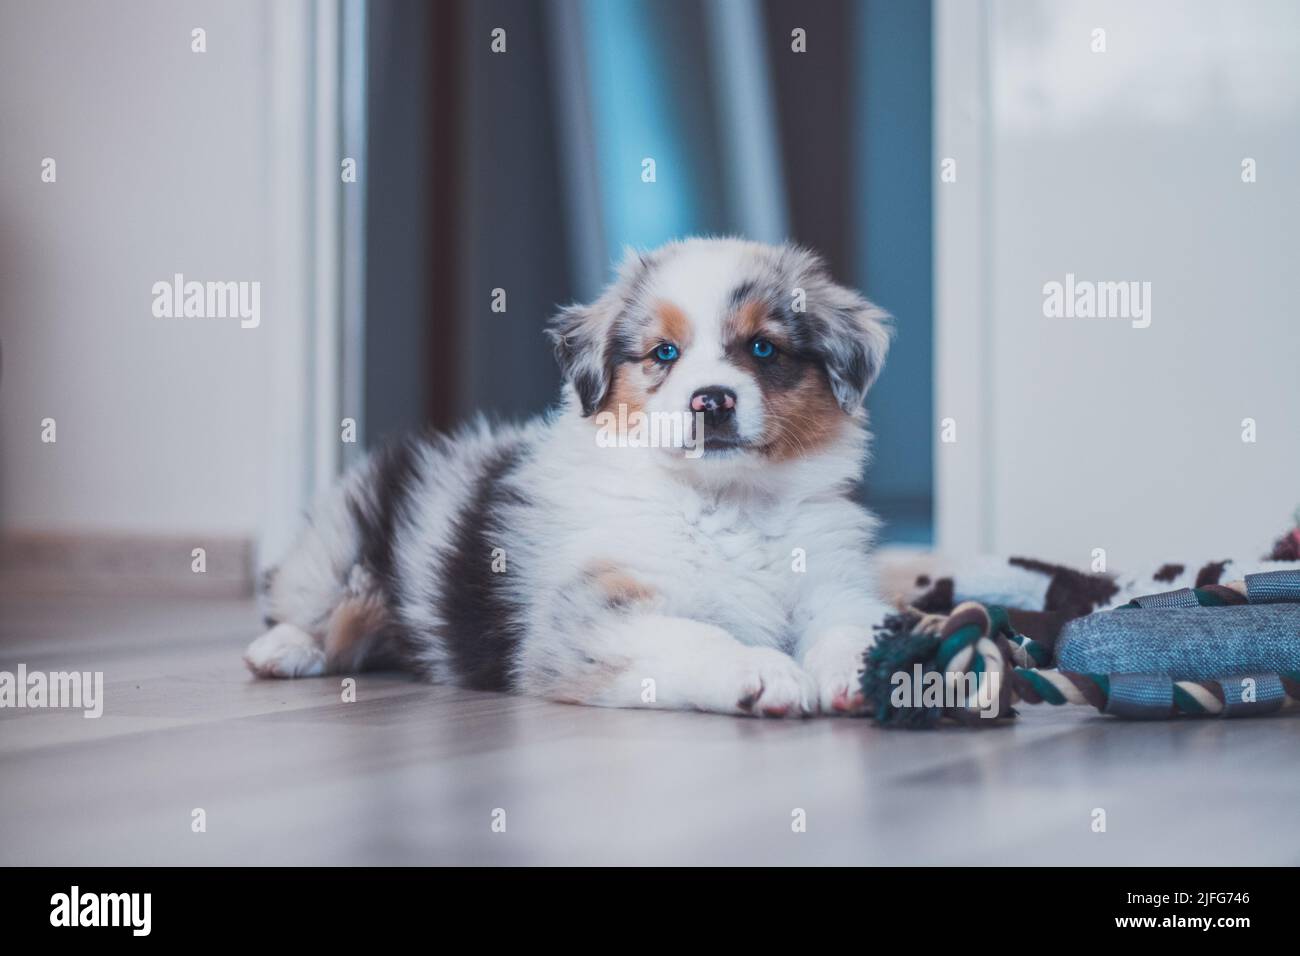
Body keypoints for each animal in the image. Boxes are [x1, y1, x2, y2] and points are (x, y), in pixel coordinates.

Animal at [244, 238, 894, 717]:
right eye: (663, 353)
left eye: (763, 348)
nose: (712, 401)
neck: (725, 501)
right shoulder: (592, 616)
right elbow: (696, 634)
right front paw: (760, 670)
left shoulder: (831, 582)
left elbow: (849, 625)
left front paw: (865, 670)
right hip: (338, 545)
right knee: (312, 606)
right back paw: (281, 650)